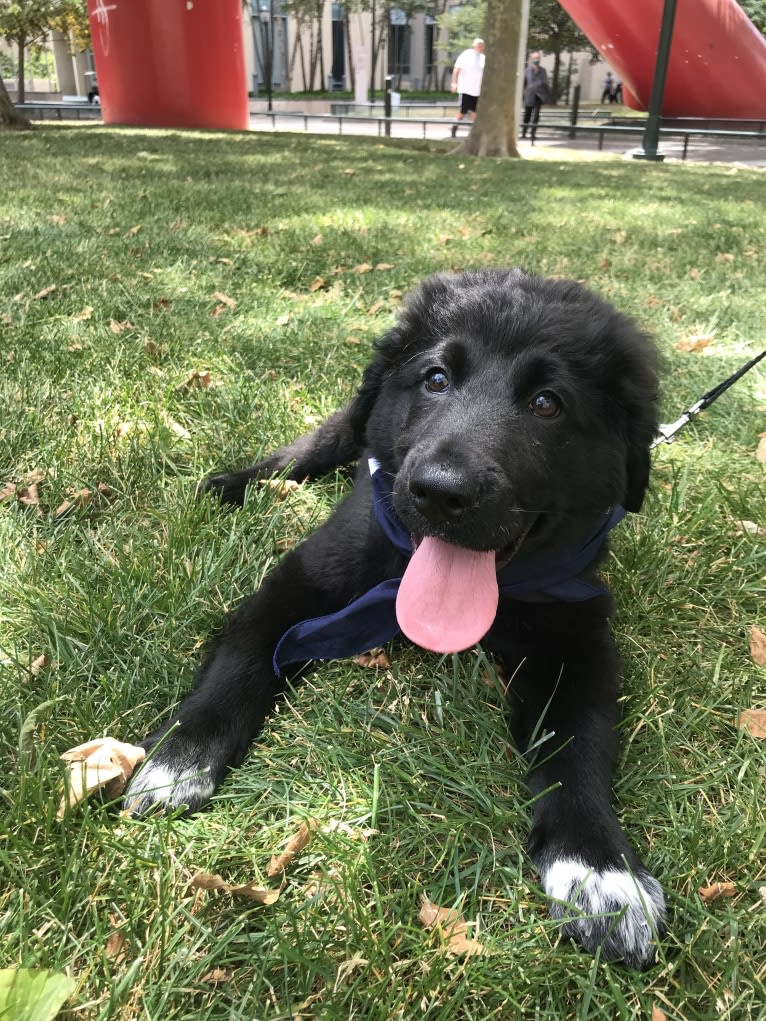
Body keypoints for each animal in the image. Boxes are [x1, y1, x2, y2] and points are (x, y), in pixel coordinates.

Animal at [127, 271, 665, 971]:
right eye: (435, 379)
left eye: (548, 403)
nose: (441, 491)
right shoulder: (298, 580)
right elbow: (239, 663)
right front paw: (179, 761)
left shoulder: (578, 633)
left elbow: (580, 742)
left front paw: (599, 873)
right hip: (337, 433)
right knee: (301, 454)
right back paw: (232, 485)